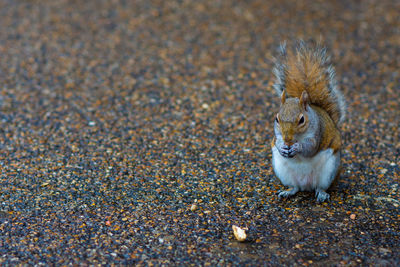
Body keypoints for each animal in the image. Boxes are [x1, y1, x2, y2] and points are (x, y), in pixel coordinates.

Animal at [270, 40, 346, 202]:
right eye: (276, 119)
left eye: (301, 120)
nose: (287, 139)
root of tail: (306, 184)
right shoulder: (277, 135)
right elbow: (276, 141)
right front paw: (282, 147)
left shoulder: (317, 133)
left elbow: (311, 147)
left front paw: (297, 147)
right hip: (283, 171)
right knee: (295, 187)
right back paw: (288, 191)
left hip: (329, 171)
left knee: (320, 186)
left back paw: (322, 194)